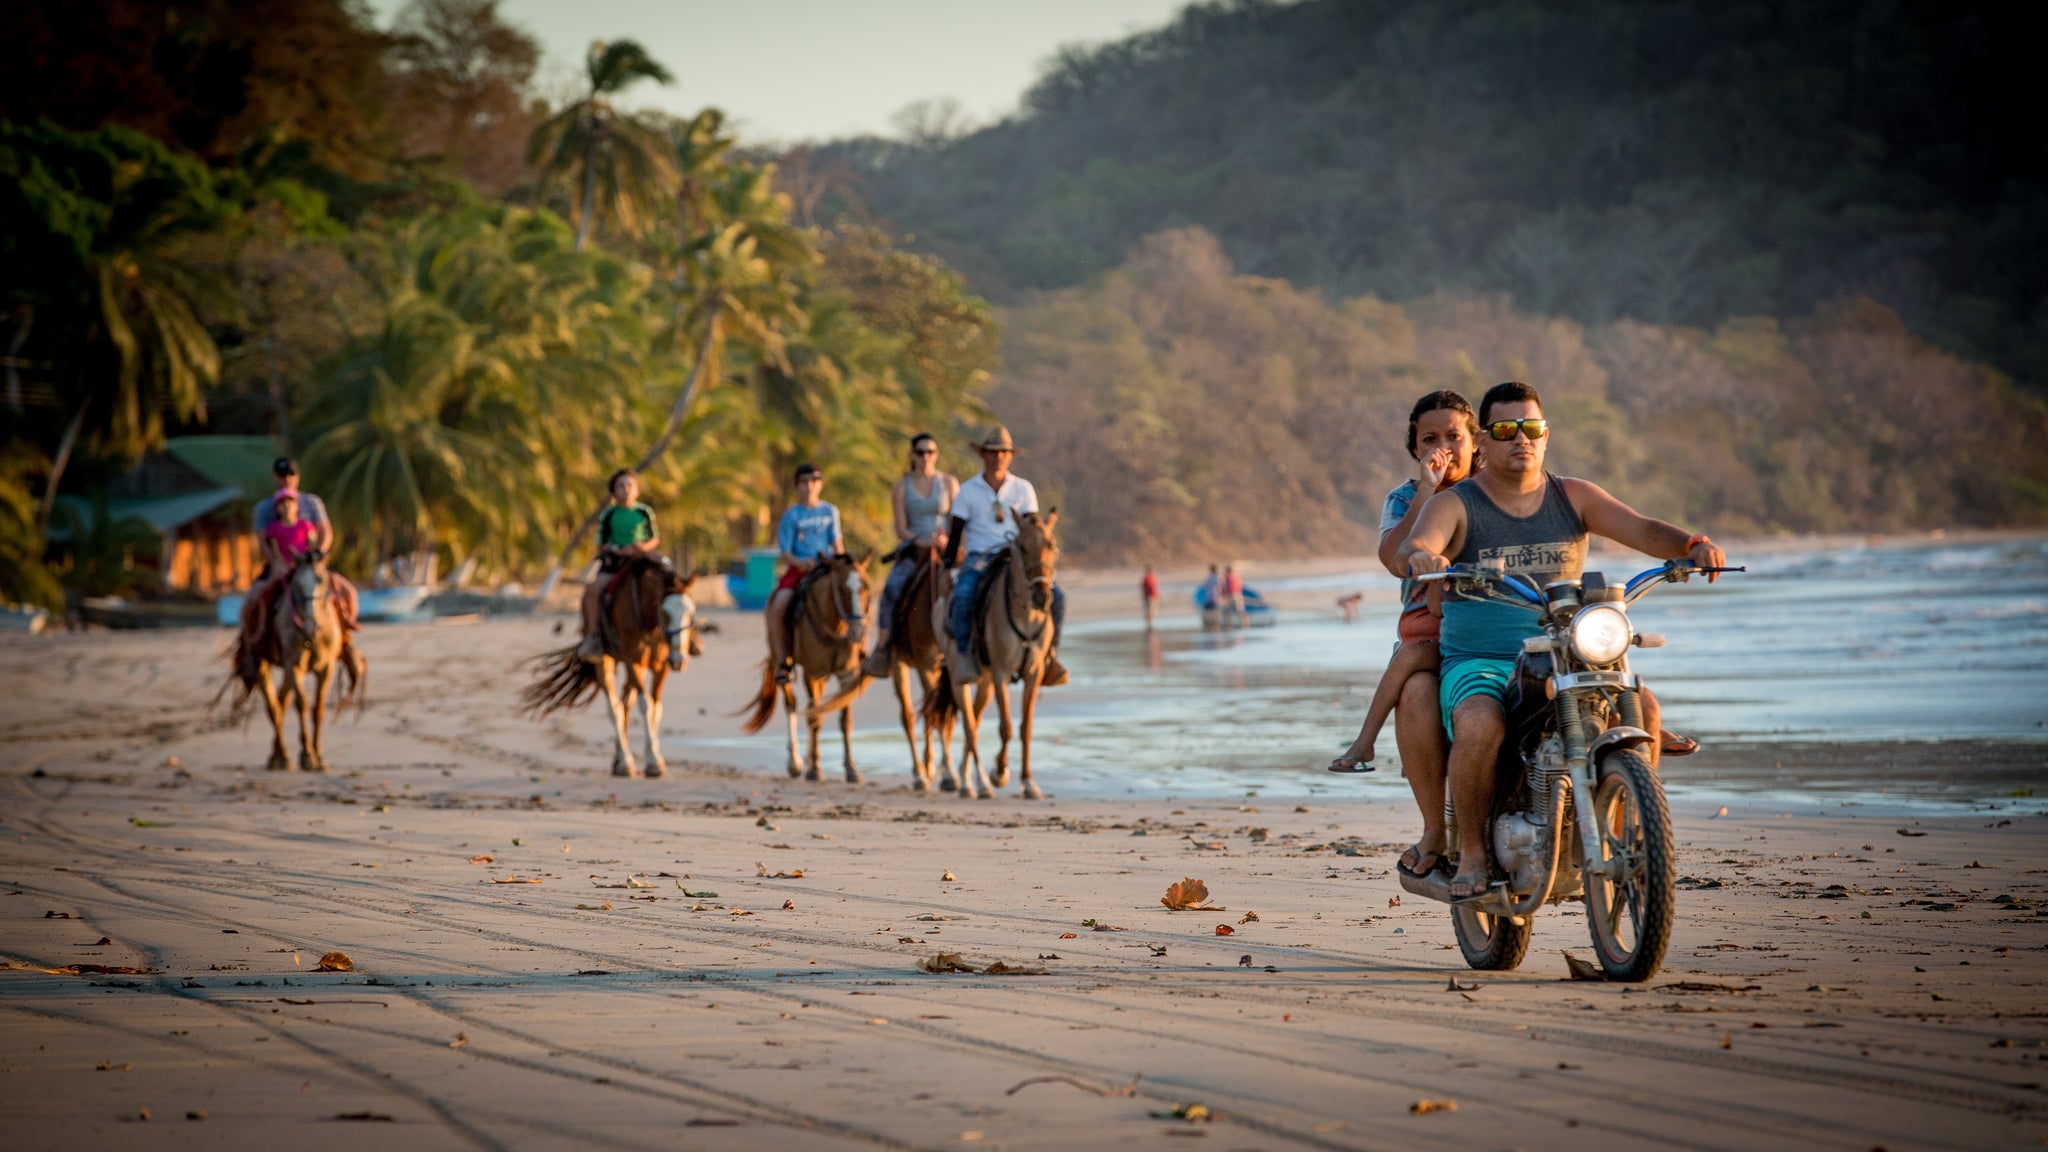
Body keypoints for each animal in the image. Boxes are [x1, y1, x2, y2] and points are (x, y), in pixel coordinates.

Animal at [216, 549, 364, 770]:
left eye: (323, 581)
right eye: (297, 586)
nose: (311, 625)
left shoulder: (326, 667)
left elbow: (318, 708)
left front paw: (318, 756)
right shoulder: (293, 664)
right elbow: (301, 704)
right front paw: (307, 756)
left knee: (281, 700)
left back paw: (279, 753)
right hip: (264, 662)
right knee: (273, 705)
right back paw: (281, 756)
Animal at [524, 553, 700, 774]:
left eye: (691, 612)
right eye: (664, 612)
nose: (679, 661)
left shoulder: (661, 666)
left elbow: (656, 708)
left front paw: (654, 757)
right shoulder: (633, 661)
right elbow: (645, 706)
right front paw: (652, 761)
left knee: (625, 704)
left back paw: (619, 758)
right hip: (605, 662)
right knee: (615, 707)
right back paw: (624, 761)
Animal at [745, 549, 872, 778]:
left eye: (865, 587)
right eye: (842, 588)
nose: (858, 631)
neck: (835, 628)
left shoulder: (846, 674)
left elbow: (844, 720)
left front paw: (851, 769)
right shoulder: (812, 674)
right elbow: (814, 719)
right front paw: (814, 770)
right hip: (784, 663)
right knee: (792, 704)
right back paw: (795, 762)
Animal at [798, 545, 958, 787]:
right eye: (949, 583)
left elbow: (946, 716)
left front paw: (947, 772)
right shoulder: (926, 666)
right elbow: (934, 716)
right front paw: (945, 775)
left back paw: (929, 767)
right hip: (900, 664)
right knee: (910, 716)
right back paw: (921, 773)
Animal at [925, 510, 1056, 799]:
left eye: (1051, 545)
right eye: (1021, 547)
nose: (1041, 596)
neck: (1025, 615)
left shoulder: (1033, 672)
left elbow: (1026, 728)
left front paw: (1029, 783)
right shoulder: (1001, 673)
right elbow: (1005, 726)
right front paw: (1000, 773)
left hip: (984, 682)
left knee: (973, 721)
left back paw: (968, 780)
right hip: (959, 678)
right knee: (969, 725)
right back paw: (979, 784)